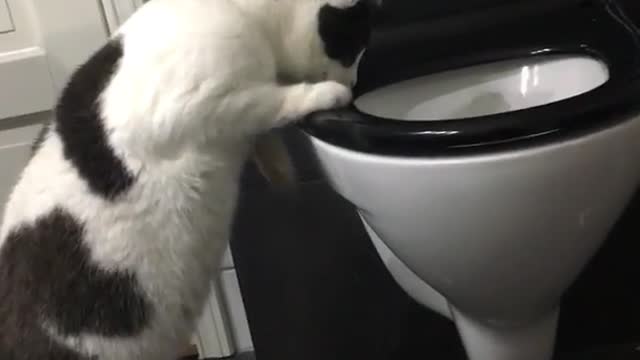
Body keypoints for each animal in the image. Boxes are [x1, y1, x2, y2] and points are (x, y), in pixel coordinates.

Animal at [0, 1, 378, 358]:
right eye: (352, 47)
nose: (354, 84)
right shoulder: (204, 107)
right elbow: (270, 102)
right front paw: (325, 93)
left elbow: (264, 132)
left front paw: (280, 169)